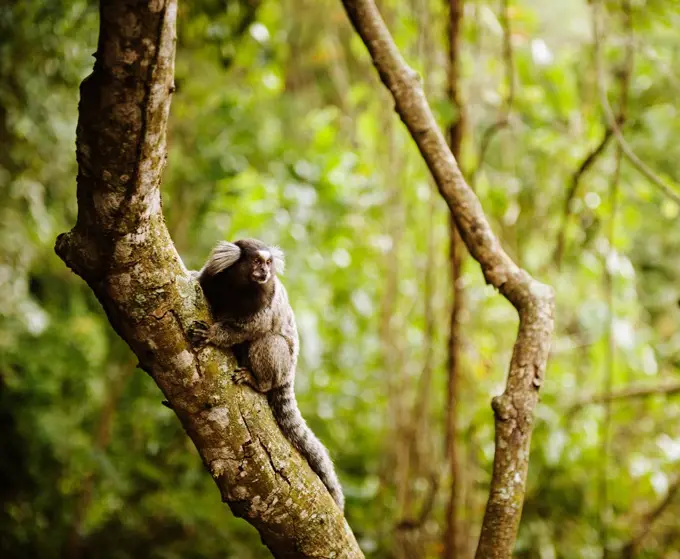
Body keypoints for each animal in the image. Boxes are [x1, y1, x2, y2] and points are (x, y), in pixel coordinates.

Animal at [187, 238, 342, 510]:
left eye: (268, 262)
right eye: (257, 261)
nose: (265, 272)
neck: (238, 287)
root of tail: (288, 374)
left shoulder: (264, 300)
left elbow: (251, 328)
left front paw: (214, 335)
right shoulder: (213, 277)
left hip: (281, 364)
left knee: (268, 341)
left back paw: (258, 381)